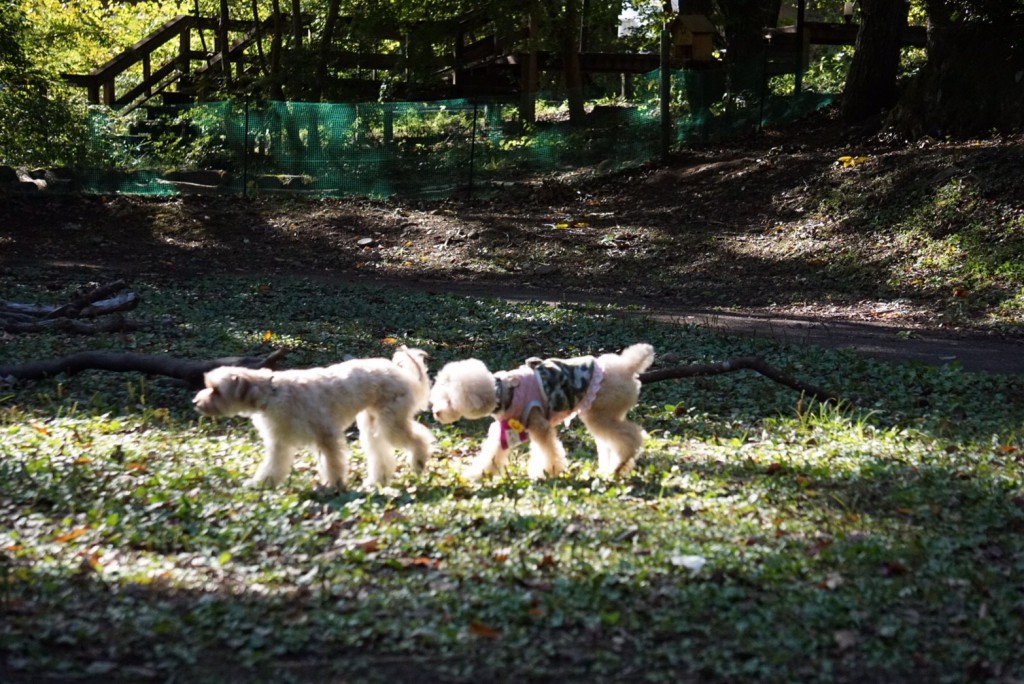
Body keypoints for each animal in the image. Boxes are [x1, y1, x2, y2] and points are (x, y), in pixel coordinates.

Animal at [428, 342, 651, 481]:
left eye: (449, 400)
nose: (436, 413)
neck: (503, 392)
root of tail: (627, 366)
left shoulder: (539, 424)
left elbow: (549, 451)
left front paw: (549, 471)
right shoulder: (507, 431)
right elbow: (492, 454)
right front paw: (478, 474)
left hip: (600, 413)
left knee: (631, 437)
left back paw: (619, 464)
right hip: (605, 414)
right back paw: (613, 468)